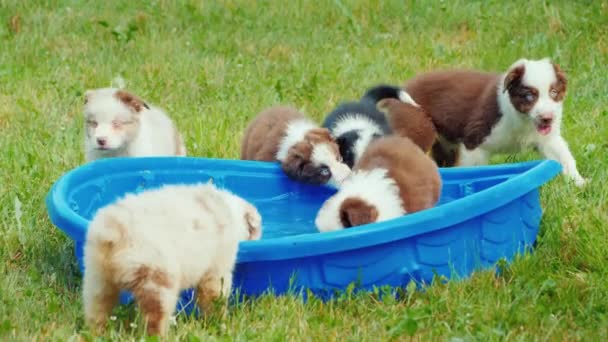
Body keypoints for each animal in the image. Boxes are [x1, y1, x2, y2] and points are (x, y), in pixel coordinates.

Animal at [82, 183, 262, 336]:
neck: (228, 209)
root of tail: (115, 231)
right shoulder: (216, 270)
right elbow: (214, 299)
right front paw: (219, 322)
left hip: (97, 279)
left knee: (97, 310)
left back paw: (97, 333)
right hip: (156, 281)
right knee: (155, 320)